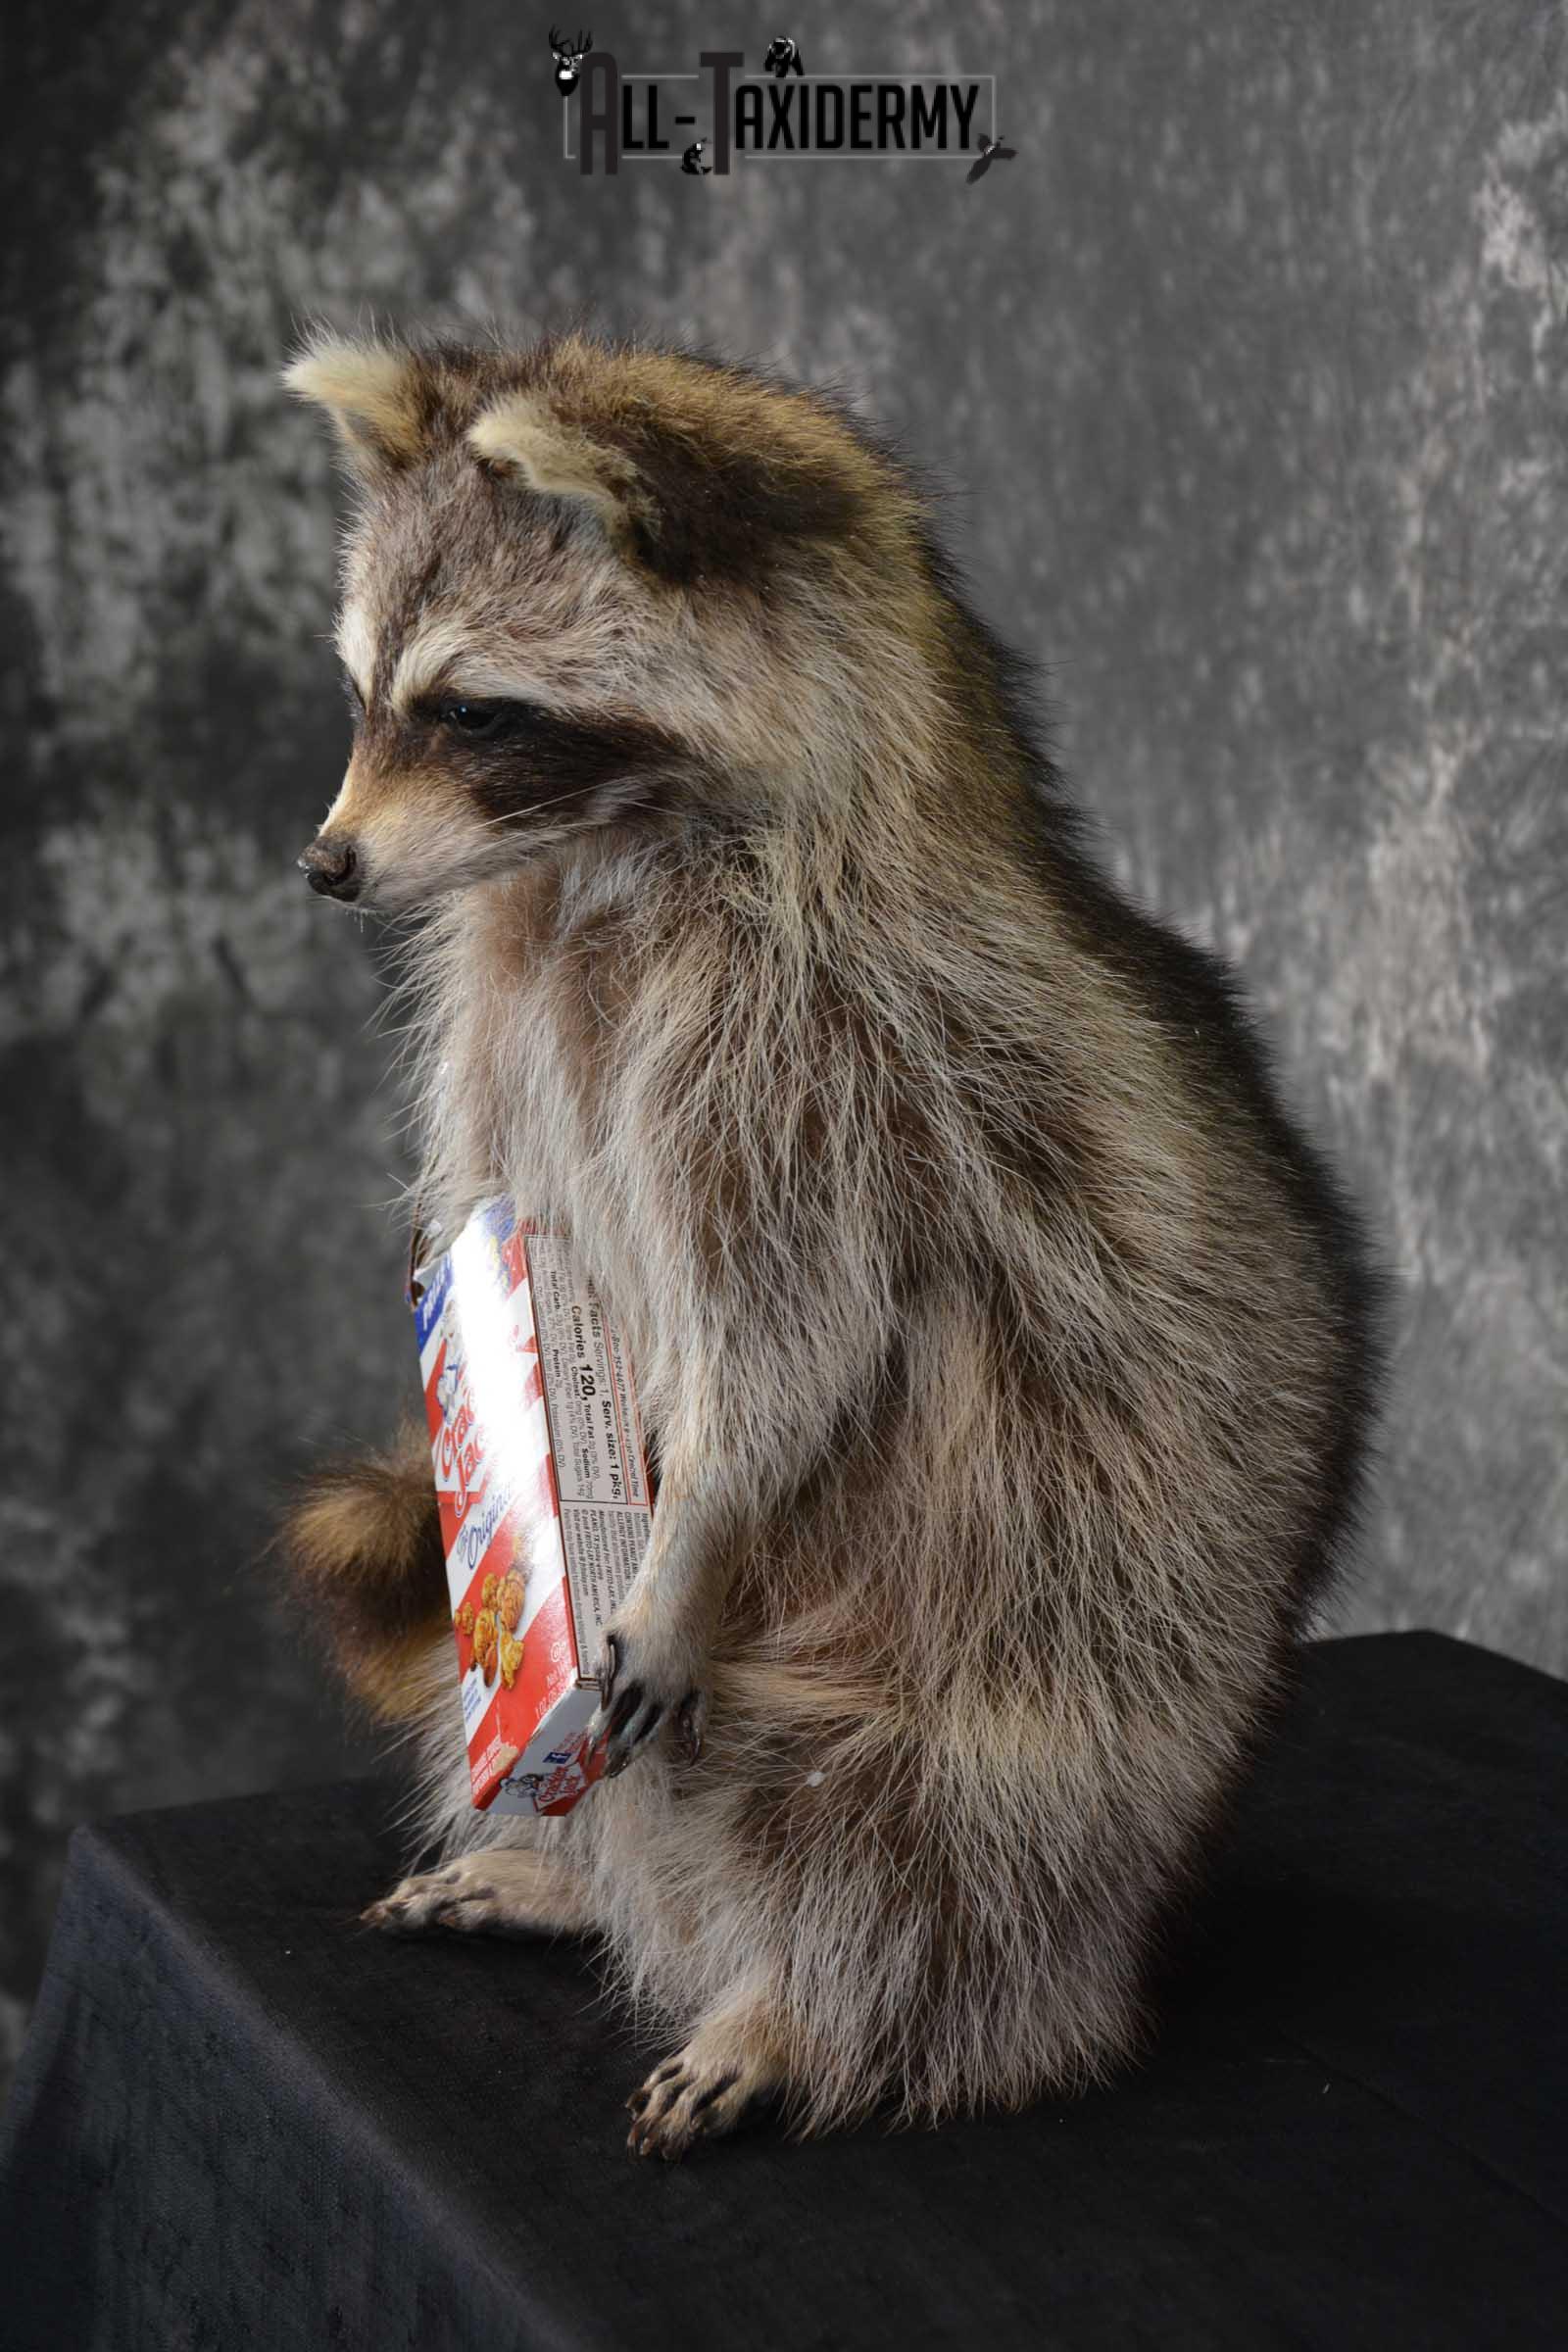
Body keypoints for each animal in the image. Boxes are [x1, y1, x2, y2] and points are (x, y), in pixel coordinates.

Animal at [280, 328, 1382, 2158]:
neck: (604, 860)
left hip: (1071, 1674)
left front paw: (694, 1521)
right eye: (368, 689)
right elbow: (501, 1203)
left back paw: (803, 2010)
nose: (327, 864)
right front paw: (469, 1376)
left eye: (475, 709)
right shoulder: (508, 998)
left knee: (935, 1845)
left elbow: (795, 1334)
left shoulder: (822, 1050)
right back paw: (579, 1874)